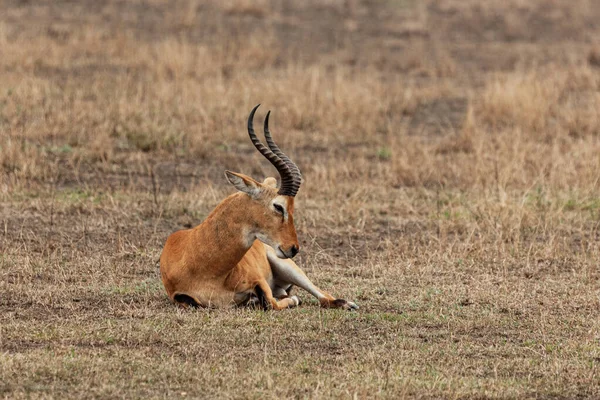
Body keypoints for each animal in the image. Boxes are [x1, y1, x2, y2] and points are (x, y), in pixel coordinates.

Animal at [157, 104, 358, 310]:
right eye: (278, 206)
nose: (294, 248)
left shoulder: (258, 280)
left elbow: (271, 302)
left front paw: (291, 299)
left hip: (287, 265)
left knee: (323, 296)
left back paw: (348, 304)